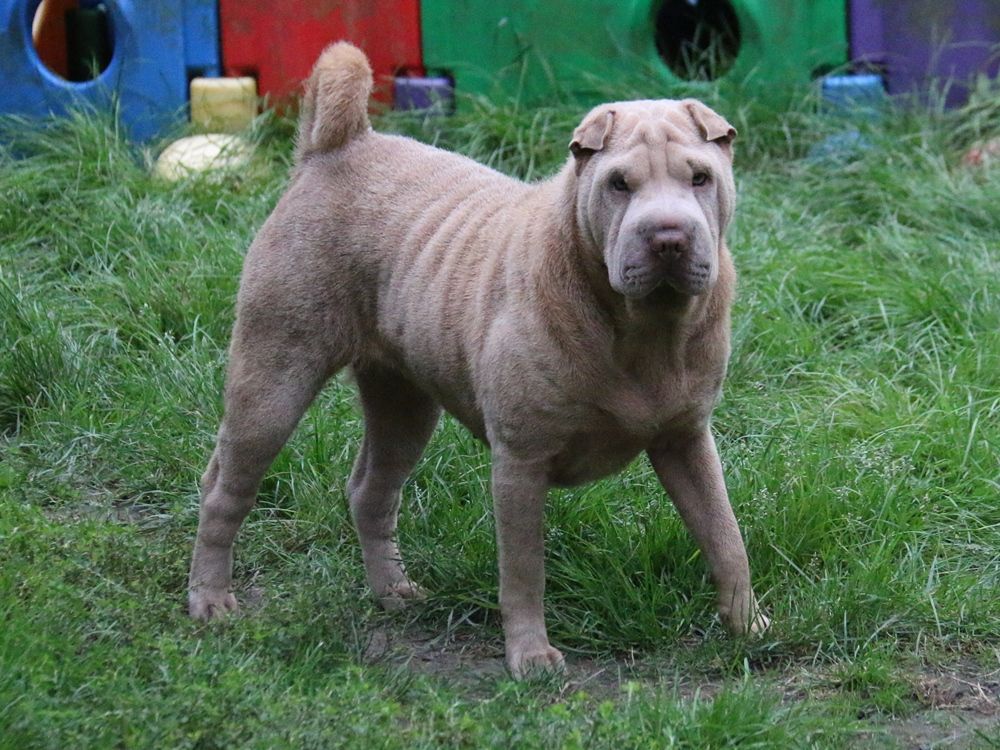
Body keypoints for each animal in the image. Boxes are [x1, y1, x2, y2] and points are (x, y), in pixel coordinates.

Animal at [186, 44, 764, 684]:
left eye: (700, 177)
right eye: (619, 184)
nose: (668, 238)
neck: (643, 328)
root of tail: (335, 147)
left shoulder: (686, 440)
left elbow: (723, 532)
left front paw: (748, 626)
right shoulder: (521, 460)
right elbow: (523, 569)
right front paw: (531, 657)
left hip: (402, 403)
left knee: (370, 491)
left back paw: (393, 592)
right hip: (273, 377)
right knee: (225, 489)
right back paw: (210, 601)